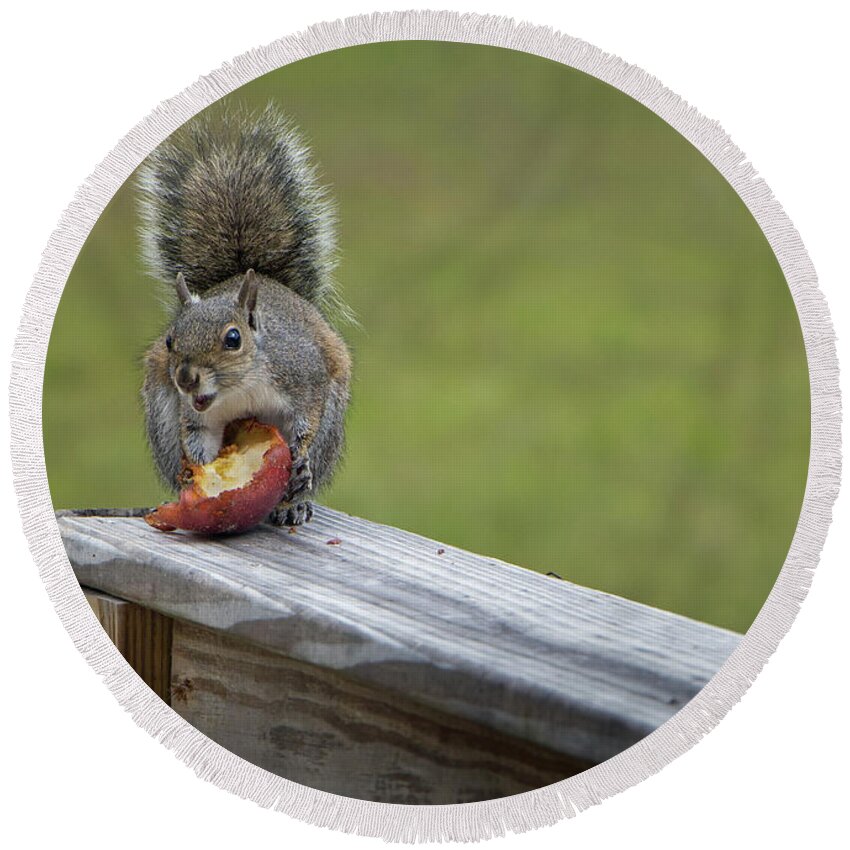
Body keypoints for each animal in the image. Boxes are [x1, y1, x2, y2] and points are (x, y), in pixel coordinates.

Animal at [139, 106, 352, 524]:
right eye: (170, 339)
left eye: (233, 339)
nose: (185, 379)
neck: (239, 389)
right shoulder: (196, 416)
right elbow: (198, 437)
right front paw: (200, 472)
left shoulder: (304, 374)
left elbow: (307, 420)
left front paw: (300, 460)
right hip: (161, 414)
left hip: (334, 420)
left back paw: (293, 501)